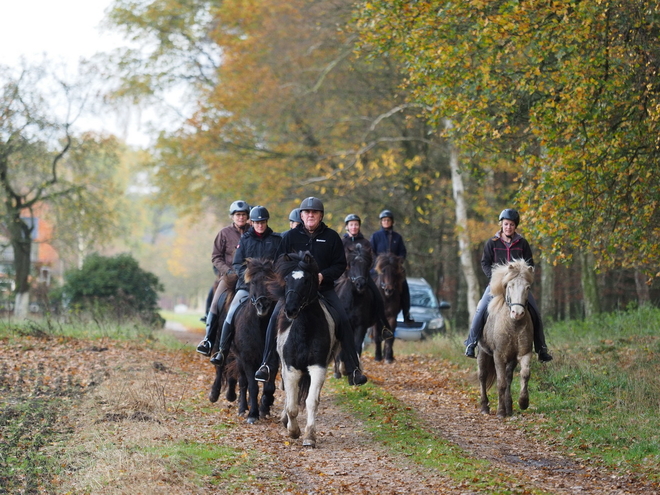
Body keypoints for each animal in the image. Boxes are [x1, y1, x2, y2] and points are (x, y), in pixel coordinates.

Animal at [270, 252, 340, 450]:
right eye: (287, 279)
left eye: (306, 281)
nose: (290, 310)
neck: (305, 331)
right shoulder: (291, 369)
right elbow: (292, 405)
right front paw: (293, 431)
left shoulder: (318, 367)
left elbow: (311, 401)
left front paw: (309, 436)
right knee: (288, 396)